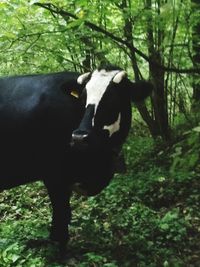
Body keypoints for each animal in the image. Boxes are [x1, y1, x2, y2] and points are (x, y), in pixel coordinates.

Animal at [0, 65, 153, 255]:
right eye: (82, 101)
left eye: (113, 100)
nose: (80, 137)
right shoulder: (54, 175)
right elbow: (62, 213)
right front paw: (59, 251)